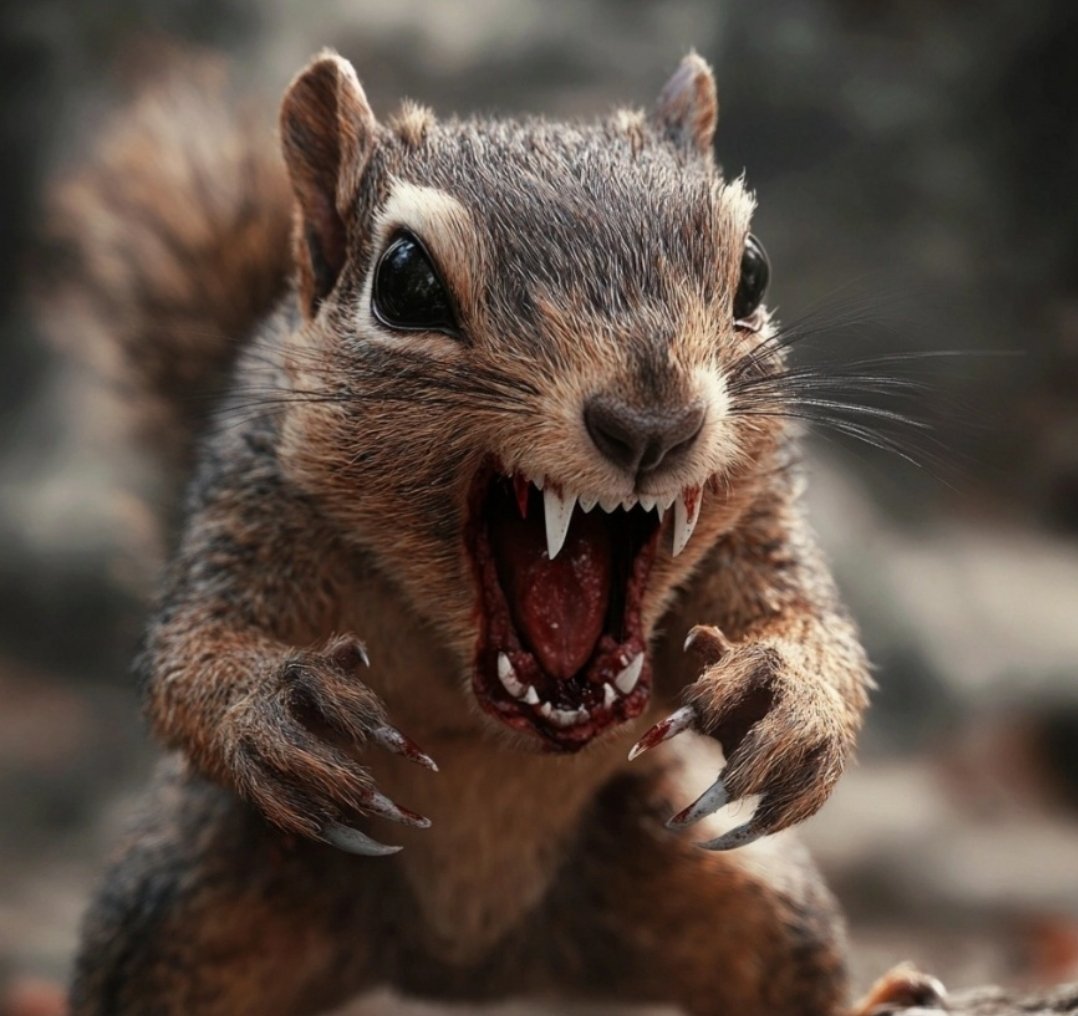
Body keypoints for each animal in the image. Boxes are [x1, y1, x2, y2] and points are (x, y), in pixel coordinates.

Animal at [49, 47, 936, 1016]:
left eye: (754, 274)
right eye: (404, 283)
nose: (652, 423)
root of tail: (472, 964)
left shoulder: (761, 526)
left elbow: (815, 627)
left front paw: (792, 702)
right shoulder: (247, 515)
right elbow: (188, 653)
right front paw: (274, 707)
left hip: (731, 890)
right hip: (193, 900)